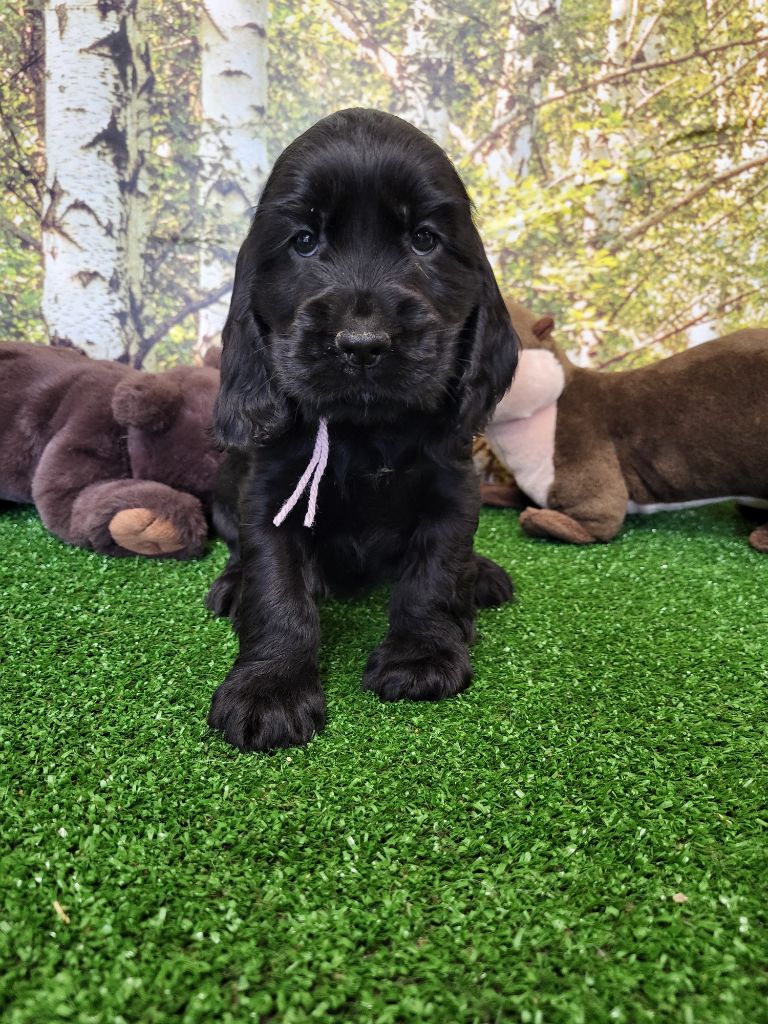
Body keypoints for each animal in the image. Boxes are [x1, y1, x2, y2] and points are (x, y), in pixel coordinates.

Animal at [206, 108, 519, 752]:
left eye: (424, 239)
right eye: (304, 240)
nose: (363, 345)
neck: (364, 429)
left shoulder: (453, 488)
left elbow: (436, 572)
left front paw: (421, 656)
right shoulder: (269, 494)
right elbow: (276, 589)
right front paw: (269, 688)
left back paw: (484, 575)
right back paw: (230, 585)